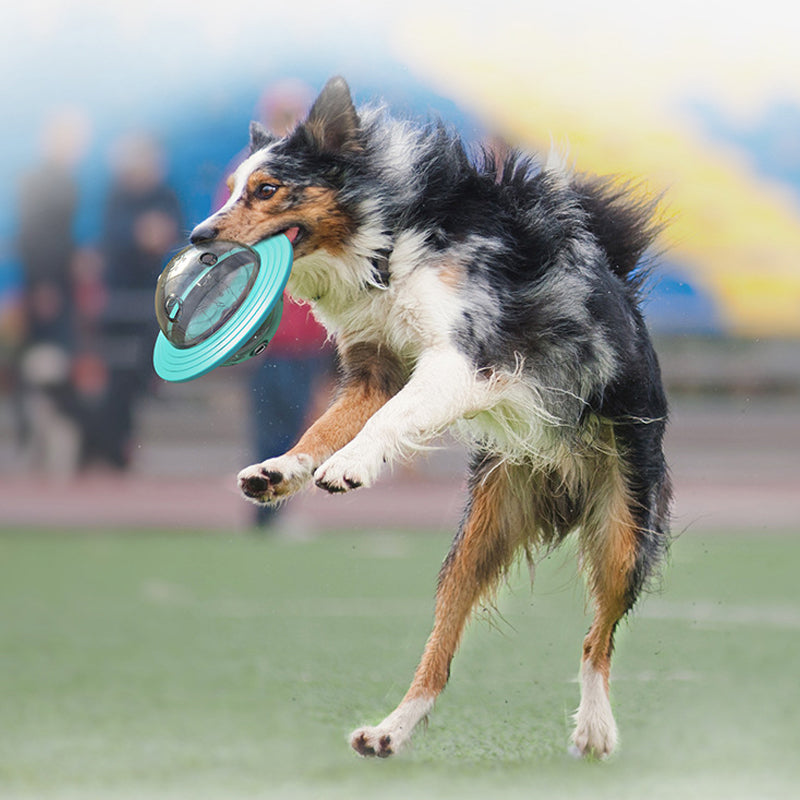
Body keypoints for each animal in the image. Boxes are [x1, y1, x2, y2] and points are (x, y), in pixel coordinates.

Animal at [191, 78, 672, 760]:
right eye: (234, 186)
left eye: (266, 189)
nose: (198, 236)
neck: (388, 240)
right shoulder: (376, 369)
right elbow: (326, 425)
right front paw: (280, 471)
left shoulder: (461, 359)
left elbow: (387, 422)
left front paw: (350, 466)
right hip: (480, 531)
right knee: (441, 649)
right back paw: (389, 731)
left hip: (623, 527)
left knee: (595, 637)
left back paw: (595, 729)